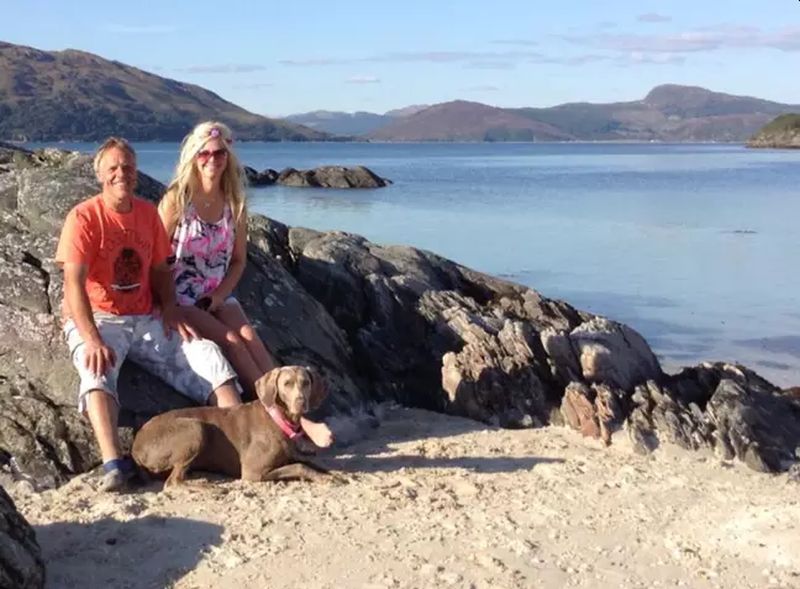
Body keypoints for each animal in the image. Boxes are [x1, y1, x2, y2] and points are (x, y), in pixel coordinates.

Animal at [132, 362, 332, 486]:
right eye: (287, 383)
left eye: (306, 383)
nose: (301, 402)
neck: (279, 418)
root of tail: (136, 445)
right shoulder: (253, 472)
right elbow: (300, 466)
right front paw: (321, 477)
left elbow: (307, 462)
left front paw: (328, 473)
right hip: (196, 428)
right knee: (172, 482)